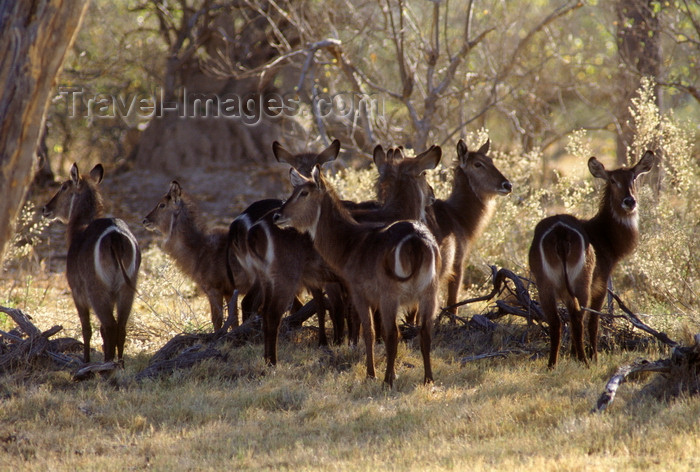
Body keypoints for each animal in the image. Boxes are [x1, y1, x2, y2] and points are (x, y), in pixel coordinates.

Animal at [42, 164, 141, 364]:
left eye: (64, 187)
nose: (46, 208)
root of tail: (115, 235)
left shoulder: (77, 293)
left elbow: (86, 329)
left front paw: (85, 360)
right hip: (127, 290)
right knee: (120, 327)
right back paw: (119, 363)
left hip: (97, 291)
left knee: (110, 326)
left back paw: (105, 365)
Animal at [142, 181, 252, 332]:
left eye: (162, 204)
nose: (145, 220)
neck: (199, 249)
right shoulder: (229, 291)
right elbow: (234, 319)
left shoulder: (213, 289)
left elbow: (217, 320)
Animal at [272, 166, 440, 388]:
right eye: (293, 190)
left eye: (304, 193)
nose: (277, 215)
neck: (350, 244)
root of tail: (417, 240)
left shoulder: (359, 293)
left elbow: (368, 332)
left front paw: (371, 374)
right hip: (429, 293)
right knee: (425, 332)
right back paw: (428, 380)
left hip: (391, 295)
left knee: (393, 333)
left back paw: (387, 381)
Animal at [424, 138, 512, 318]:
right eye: (477, 164)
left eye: (491, 160)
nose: (507, 185)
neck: (457, 215)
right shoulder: (457, 265)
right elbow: (452, 304)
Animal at [532, 153, 656, 366]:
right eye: (613, 180)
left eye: (633, 178)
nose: (629, 201)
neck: (604, 236)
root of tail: (560, 232)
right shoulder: (600, 283)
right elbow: (594, 321)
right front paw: (593, 356)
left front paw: (572, 354)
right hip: (582, 281)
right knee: (579, 317)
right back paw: (585, 361)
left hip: (545, 284)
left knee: (556, 320)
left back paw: (552, 364)